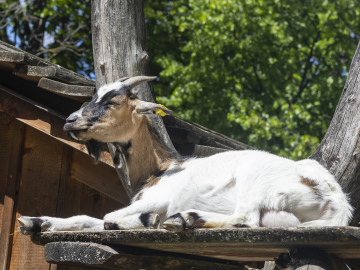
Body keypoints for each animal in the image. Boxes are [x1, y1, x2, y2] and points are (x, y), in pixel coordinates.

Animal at [17, 76, 352, 236]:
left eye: (113, 101)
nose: (70, 121)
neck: (162, 169)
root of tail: (337, 198)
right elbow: (87, 218)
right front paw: (35, 221)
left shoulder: (159, 198)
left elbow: (110, 217)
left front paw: (147, 220)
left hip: (254, 182)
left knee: (245, 219)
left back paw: (184, 218)